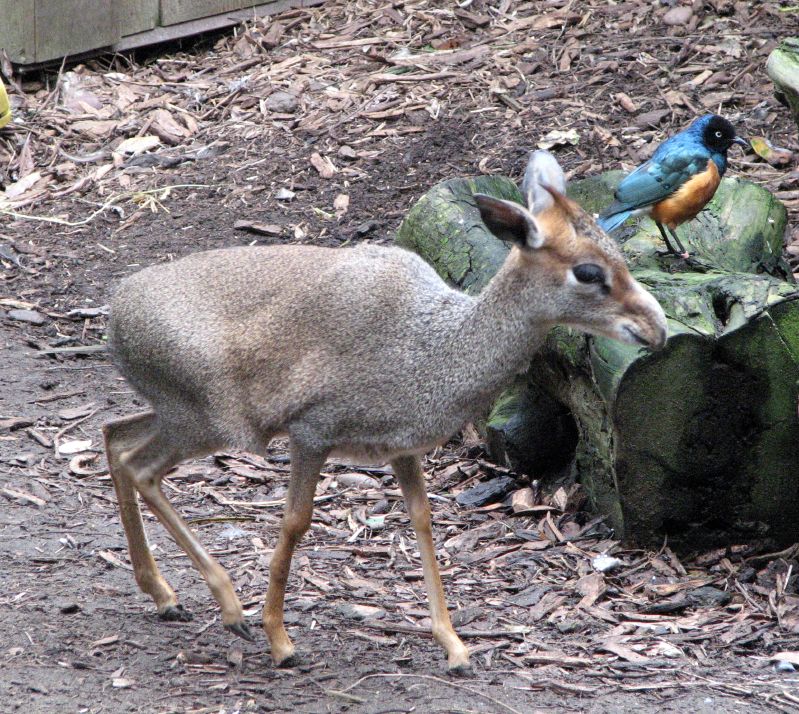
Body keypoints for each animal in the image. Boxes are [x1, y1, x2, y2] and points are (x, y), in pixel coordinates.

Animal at [101, 150, 668, 668]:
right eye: (588, 271)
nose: (657, 326)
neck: (431, 345)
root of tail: (114, 310)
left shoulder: (402, 448)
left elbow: (422, 519)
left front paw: (454, 645)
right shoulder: (312, 432)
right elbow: (295, 522)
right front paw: (279, 638)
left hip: (179, 417)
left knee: (114, 435)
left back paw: (165, 595)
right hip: (212, 422)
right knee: (140, 466)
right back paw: (229, 608)